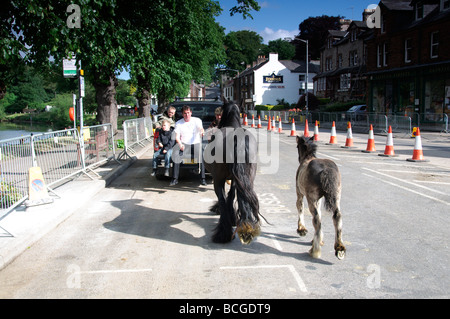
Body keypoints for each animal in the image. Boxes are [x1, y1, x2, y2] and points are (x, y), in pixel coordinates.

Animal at [204, 101, 260, 244]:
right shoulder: (235, 179)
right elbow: (231, 195)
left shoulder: (219, 178)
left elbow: (225, 197)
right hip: (248, 177)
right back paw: (246, 228)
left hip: (218, 179)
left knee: (222, 198)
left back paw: (223, 233)